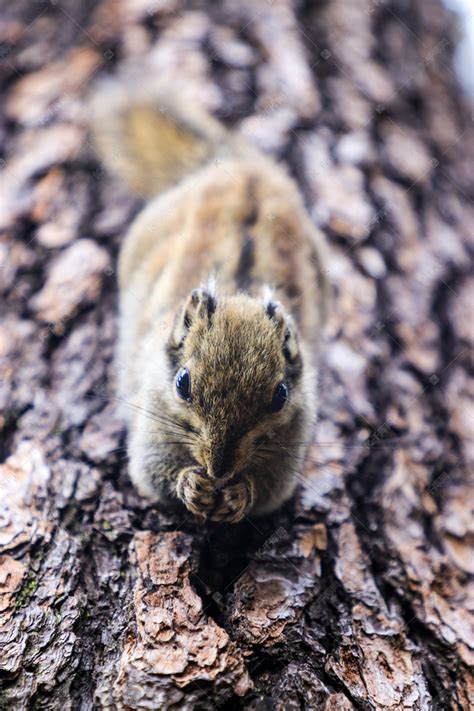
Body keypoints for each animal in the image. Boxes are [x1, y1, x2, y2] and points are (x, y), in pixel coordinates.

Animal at [91, 78, 330, 524]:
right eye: (182, 383)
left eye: (280, 396)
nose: (219, 469)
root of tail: (244, 171)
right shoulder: (151, 419)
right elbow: (152, 471)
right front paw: (191, 484)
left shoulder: (290, 444)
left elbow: (269, 490)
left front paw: (239, 495)